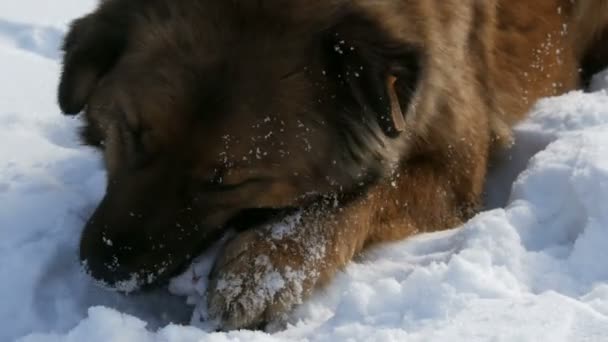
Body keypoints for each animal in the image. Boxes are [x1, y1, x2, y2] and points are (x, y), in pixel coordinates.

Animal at [60, 0, 608, 332]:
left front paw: (259, 270)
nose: (106, 266)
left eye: (225, 180)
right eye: (132, 135)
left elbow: (360, 196)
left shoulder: (454, 164)